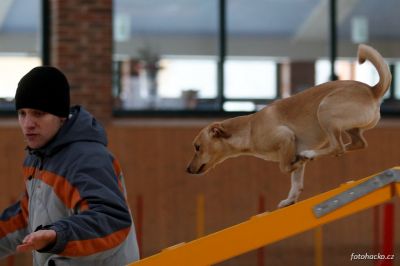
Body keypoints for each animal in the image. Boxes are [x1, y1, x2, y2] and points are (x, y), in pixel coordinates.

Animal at [187, 44, 390, 208]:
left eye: (197, 147)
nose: (187, 169)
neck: (250, 129)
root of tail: (372, 90)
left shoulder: (286, 138)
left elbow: (285, 168)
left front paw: (299, 161)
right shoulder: (293, 148)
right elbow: (296, 183)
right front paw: (290, 200)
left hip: (324, 110)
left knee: (337, 147)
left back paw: (312, 154)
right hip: (348, 127)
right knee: (356, 144)